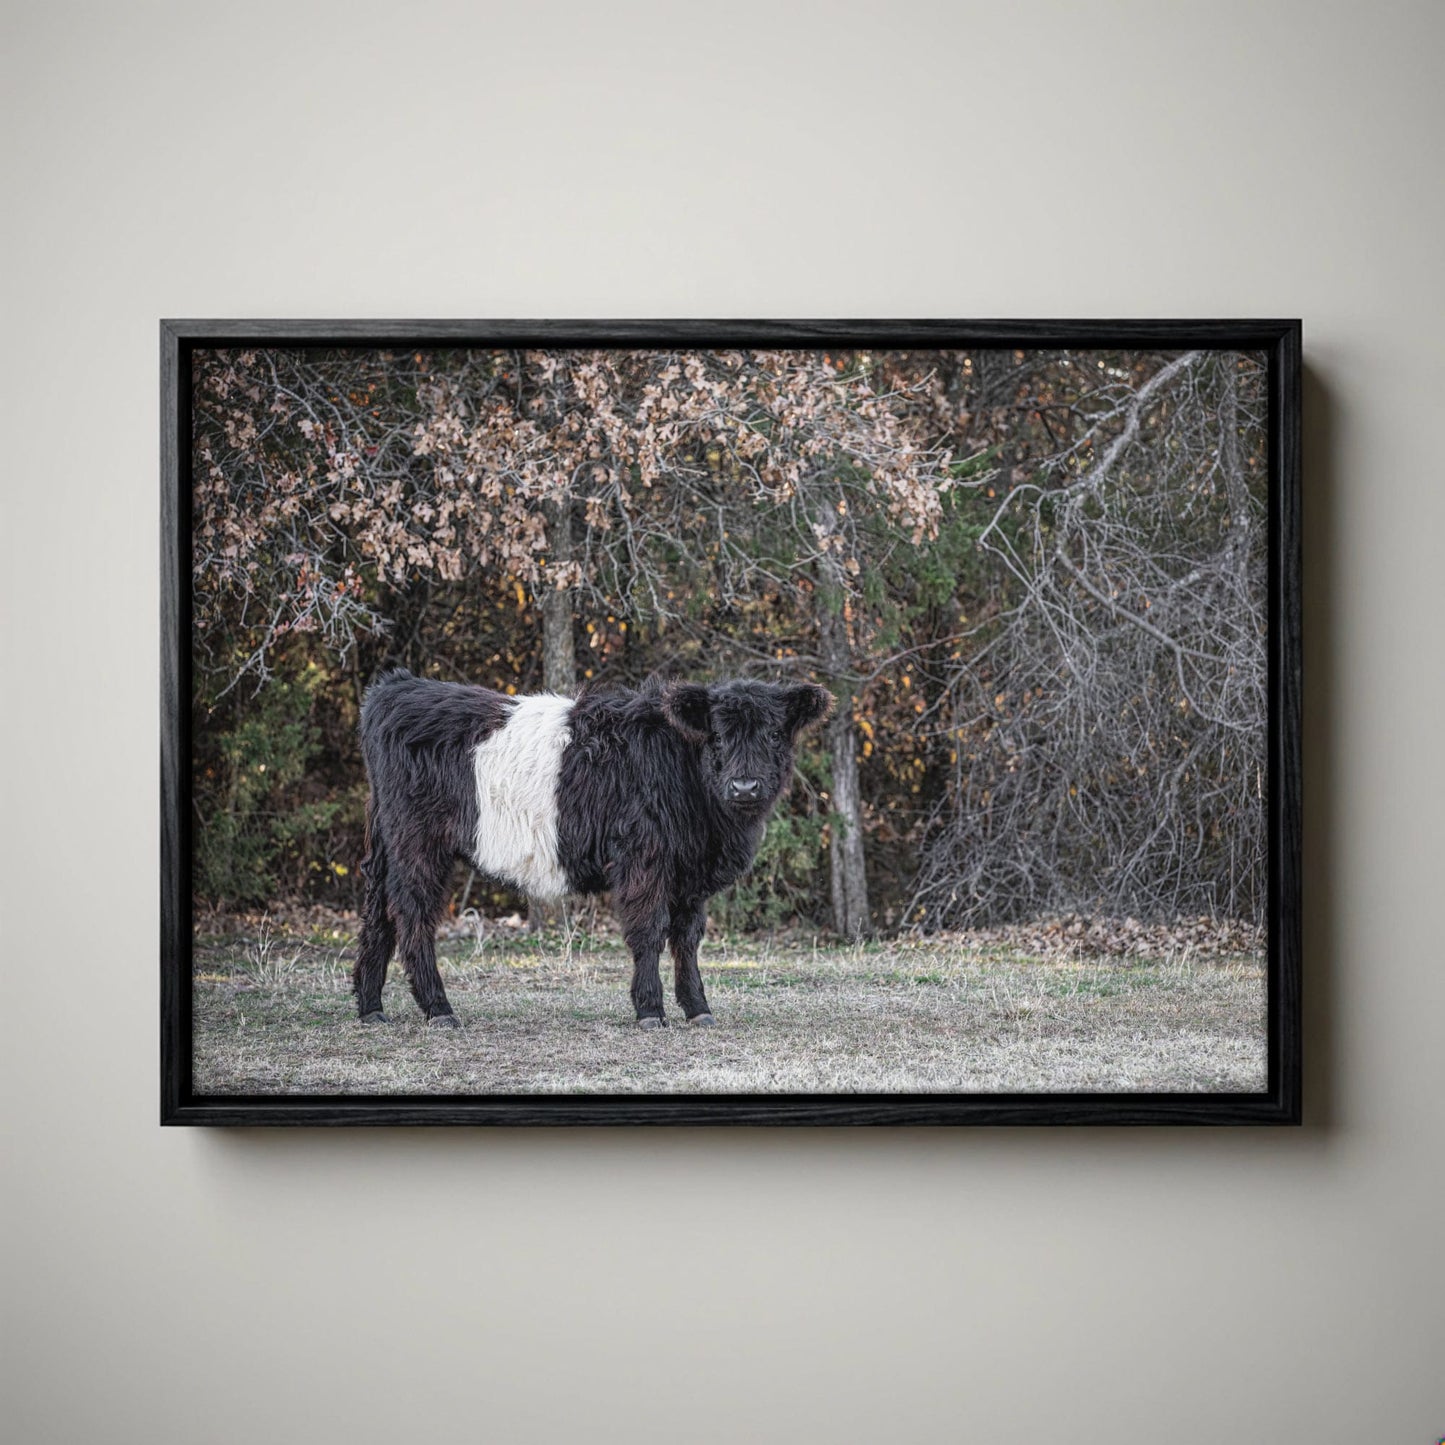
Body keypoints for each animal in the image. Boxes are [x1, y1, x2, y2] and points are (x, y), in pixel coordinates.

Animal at [352, 670, 833, 1029]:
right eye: (716, 736)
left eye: (775, 734)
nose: (745, 786)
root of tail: (396, 687)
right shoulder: (643, 858)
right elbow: (649, 930)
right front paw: (650, 1010)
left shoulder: (689, 875)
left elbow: (687, 938)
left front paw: (698, 1009)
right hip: (417, 844)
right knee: (412, 915)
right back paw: (439, 1009)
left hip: (387, 844)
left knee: (378, 912)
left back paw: (371, 1007)